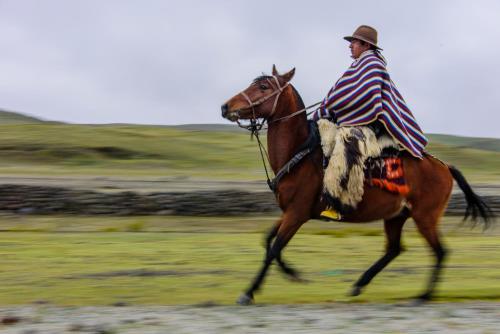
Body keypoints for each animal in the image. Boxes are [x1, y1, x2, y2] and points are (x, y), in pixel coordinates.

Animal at [220, 64, 492, 306]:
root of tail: (444, 165)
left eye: (264, 86)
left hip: (425, 216)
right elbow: (268, 241)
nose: (225, 106)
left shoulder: (296, 214)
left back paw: (423, 296)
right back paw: (359, 284)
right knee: (394, 249)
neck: (300, 153)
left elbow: (274, 248)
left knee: (440, 251)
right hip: (396, 216)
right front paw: (292, 273)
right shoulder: (291, 212)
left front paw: (249, 292)